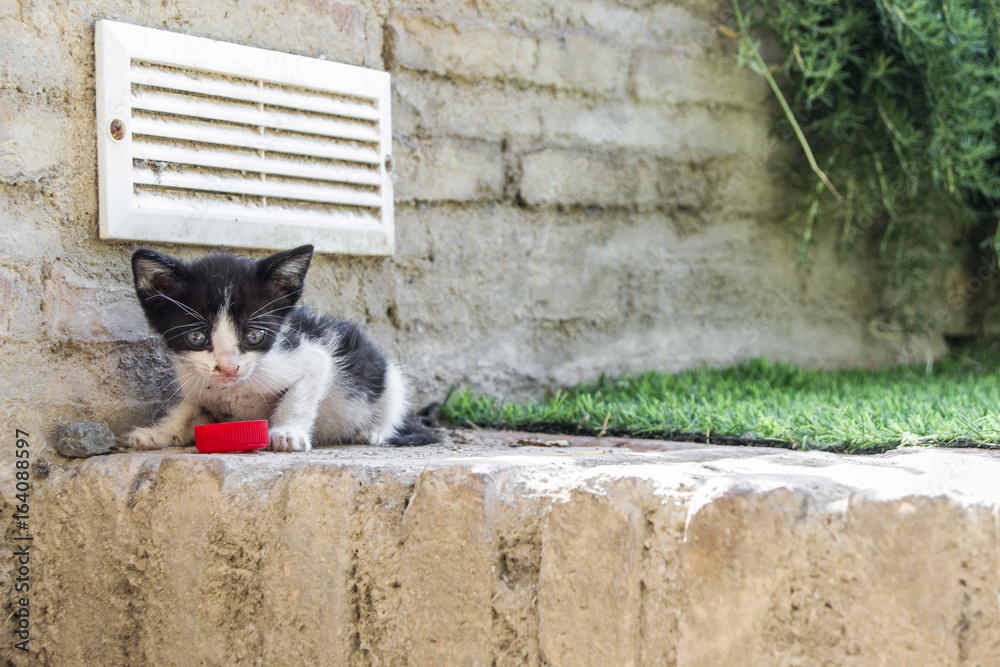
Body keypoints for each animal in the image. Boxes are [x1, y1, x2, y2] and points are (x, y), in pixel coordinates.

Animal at [126, 243, 438, 452]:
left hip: (385, 377)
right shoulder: (199, 384)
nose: (228, 368)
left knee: (392, 402)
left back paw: (374, 431)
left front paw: (288, 433)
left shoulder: (308, 356)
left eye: (254, 336)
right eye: (196, 338)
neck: (234, 390)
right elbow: (187, 411)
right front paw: (158, 433)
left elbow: (299, 396)